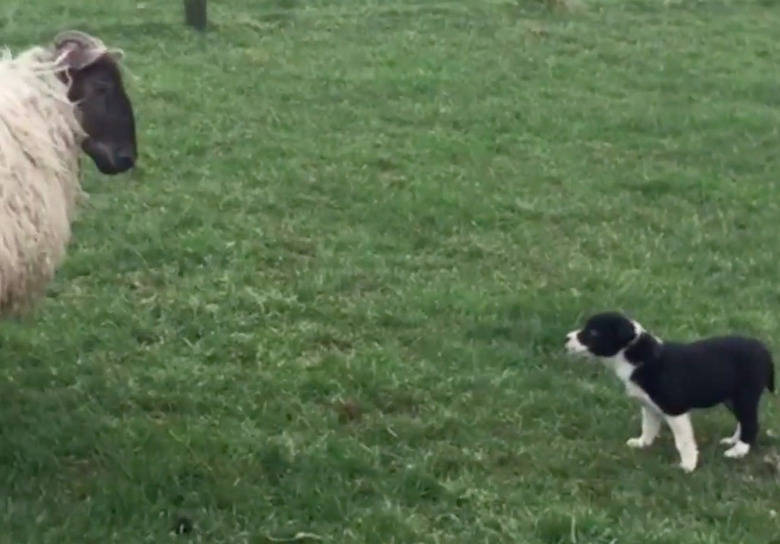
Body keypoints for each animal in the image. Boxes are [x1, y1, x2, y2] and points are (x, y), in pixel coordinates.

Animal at [568, 310, 772, 472]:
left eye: (593, 332)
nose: (566, 338)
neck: (639, 356)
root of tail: (763, 349)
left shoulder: (675, 409)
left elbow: (683, 441)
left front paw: (688, 465)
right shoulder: (649, 406)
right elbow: (648, 427)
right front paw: (642, 444)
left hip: (745, 395)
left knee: (751, 423)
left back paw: (738, 451)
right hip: (732, 398)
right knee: (743, 421)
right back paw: (733, 441)